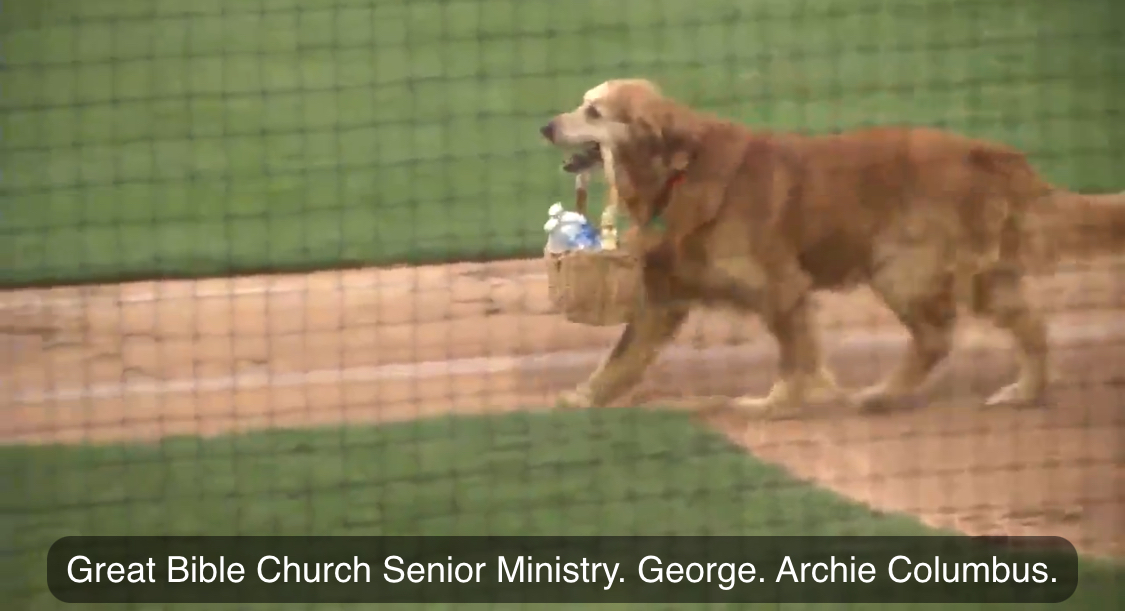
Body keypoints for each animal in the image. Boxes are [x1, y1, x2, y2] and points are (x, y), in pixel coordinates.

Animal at [535, 77, 1125, 416]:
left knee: (936, 337)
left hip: (901, 269)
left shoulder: (782, 287)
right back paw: (1023, 392)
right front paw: (580, 399)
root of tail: (990, 153)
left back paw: (883, 394)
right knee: (1032, 327)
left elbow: (795, 355)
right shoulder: (664, 296)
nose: (545, 125)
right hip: (978, 278)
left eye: (594, 113)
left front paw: (779, 402)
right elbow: (620, 358)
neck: (679, 170)